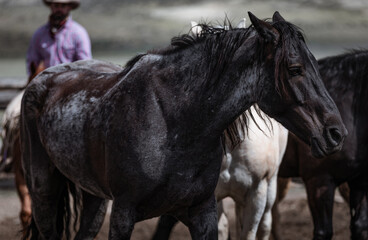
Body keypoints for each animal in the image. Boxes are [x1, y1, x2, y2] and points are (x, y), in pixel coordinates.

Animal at [21, 12, 346, 240]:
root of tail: (42, 80)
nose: (336, 133)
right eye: (295, 69)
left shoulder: (202, 212)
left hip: (95, 199)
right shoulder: (123, 214)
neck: (173, 124)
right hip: (44, 192)